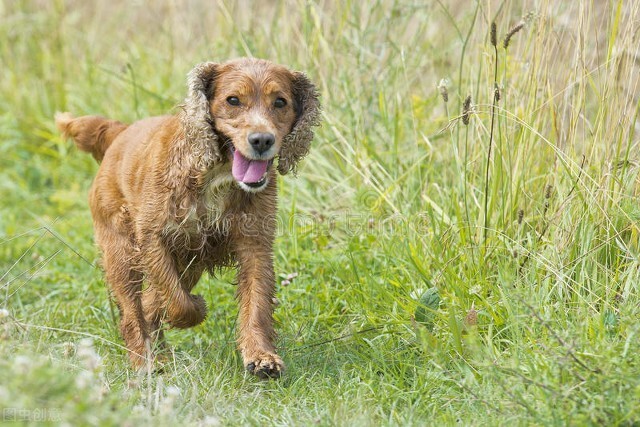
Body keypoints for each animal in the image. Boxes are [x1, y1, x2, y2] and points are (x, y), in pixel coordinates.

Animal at [56, 58, 320, 380]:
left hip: (189, 262)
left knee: (149, 303)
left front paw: (261, 357)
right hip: (121, 252)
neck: (215, 174)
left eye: (280, 102)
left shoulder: (254, 244)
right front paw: (196, 307)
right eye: (233, 100)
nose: (261, 140)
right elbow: (177, 300)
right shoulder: (153, 239)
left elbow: (255, 303)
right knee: (133, 311)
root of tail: (121, 131)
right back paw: (144, 361)